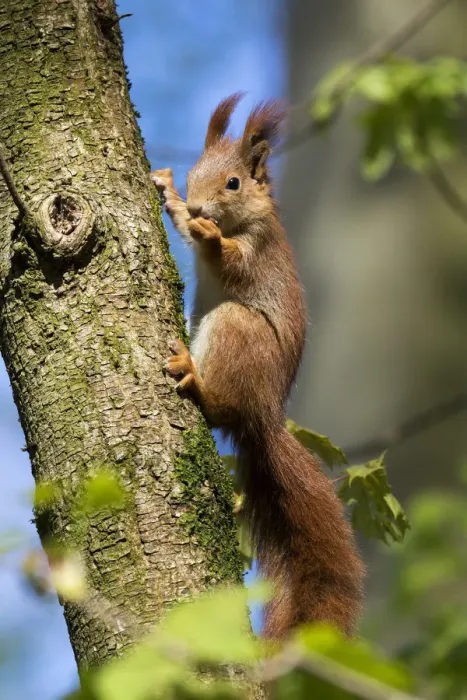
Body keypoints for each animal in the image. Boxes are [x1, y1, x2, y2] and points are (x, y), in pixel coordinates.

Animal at [151, 93, 364, 639]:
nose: (199, 205)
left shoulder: (259, 248)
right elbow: (183, 229)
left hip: (236, 331)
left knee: (220, 406)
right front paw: (170, 195)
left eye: (234, 183)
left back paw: (195, 378)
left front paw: (206, 232)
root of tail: (265, 414)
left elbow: (229, 259)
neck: (238, 221)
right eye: (194, 171)